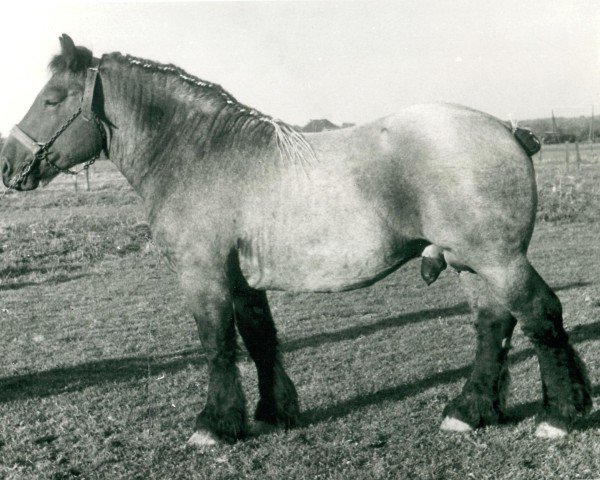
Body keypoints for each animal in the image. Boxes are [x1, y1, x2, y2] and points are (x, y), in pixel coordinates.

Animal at [0, 35, 592, 444]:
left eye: (52, 99)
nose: (8, 166)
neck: (200, 154)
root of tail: (506, 128)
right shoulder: (243, 280)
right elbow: (260, 340)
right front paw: (273, 413)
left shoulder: (203, 275)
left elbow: (217, 343)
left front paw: (214, 425)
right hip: (471, 263)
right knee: (493, 325)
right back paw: (469, 411)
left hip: (497, 260)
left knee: (541, 315)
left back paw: (559, 417)